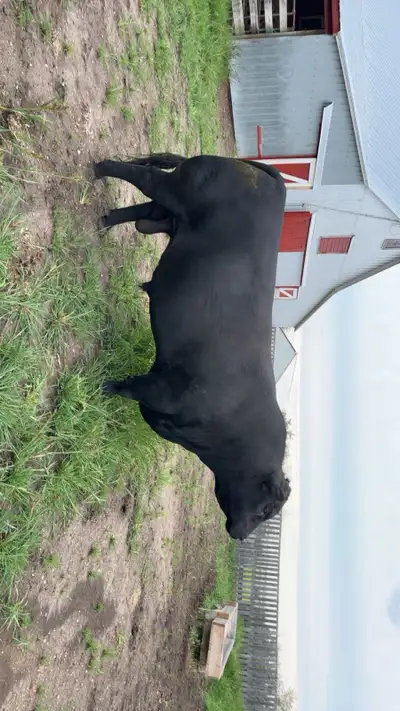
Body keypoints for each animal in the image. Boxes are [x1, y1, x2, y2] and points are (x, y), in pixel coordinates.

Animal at [94, 153, 291, 540]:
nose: (240, 534)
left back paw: (103, 222)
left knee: (143, 209)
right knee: (142, 175)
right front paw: (102, 387)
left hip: (170, 210)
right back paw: (98, 170)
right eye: (266, 509)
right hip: (180, 186)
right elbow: (129, 387)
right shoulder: (164, 387)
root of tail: (271, 179)